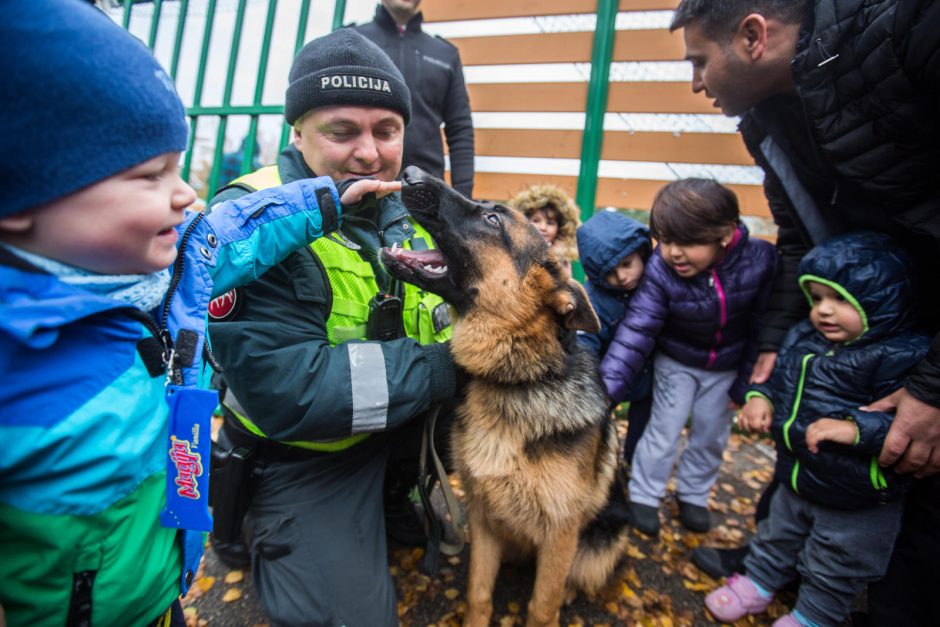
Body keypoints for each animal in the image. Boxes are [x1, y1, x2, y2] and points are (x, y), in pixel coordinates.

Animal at [382, 168, 632, 627]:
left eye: (493, 220)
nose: (409, 172)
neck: (518, 379)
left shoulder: (560, 533)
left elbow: (541, 607)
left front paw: (550, 604)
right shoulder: (483, 520)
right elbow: (479, 593)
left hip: (604, 538)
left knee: (580, 572)